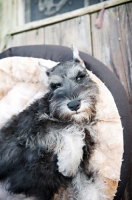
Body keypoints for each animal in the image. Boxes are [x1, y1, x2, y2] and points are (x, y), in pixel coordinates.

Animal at [0, 45, 99, 200]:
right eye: (55, 85)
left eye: (80, 76)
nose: (74, 105)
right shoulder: (31, 129)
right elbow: (68, 129)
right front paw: (68, 163)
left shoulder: (82, 167)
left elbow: (89, 189)